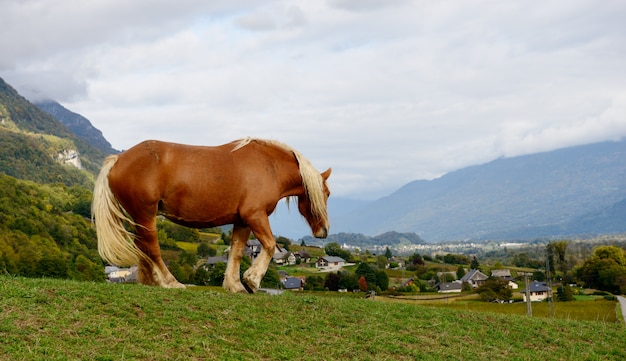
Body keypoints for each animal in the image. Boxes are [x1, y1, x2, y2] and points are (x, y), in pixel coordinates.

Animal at [91, 136, 332, 292]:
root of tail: (118, 160)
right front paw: (252, 280)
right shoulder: (255, 215)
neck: (268, 166)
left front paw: (234, 285)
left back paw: (148, 281)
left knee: (141, 247)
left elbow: (236, 252)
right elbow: (271, 245)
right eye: (327, 193)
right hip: (146, 215)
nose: (324, 230)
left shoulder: (242, 221)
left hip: (139, 218)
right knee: (152, 248)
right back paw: (169, 282)